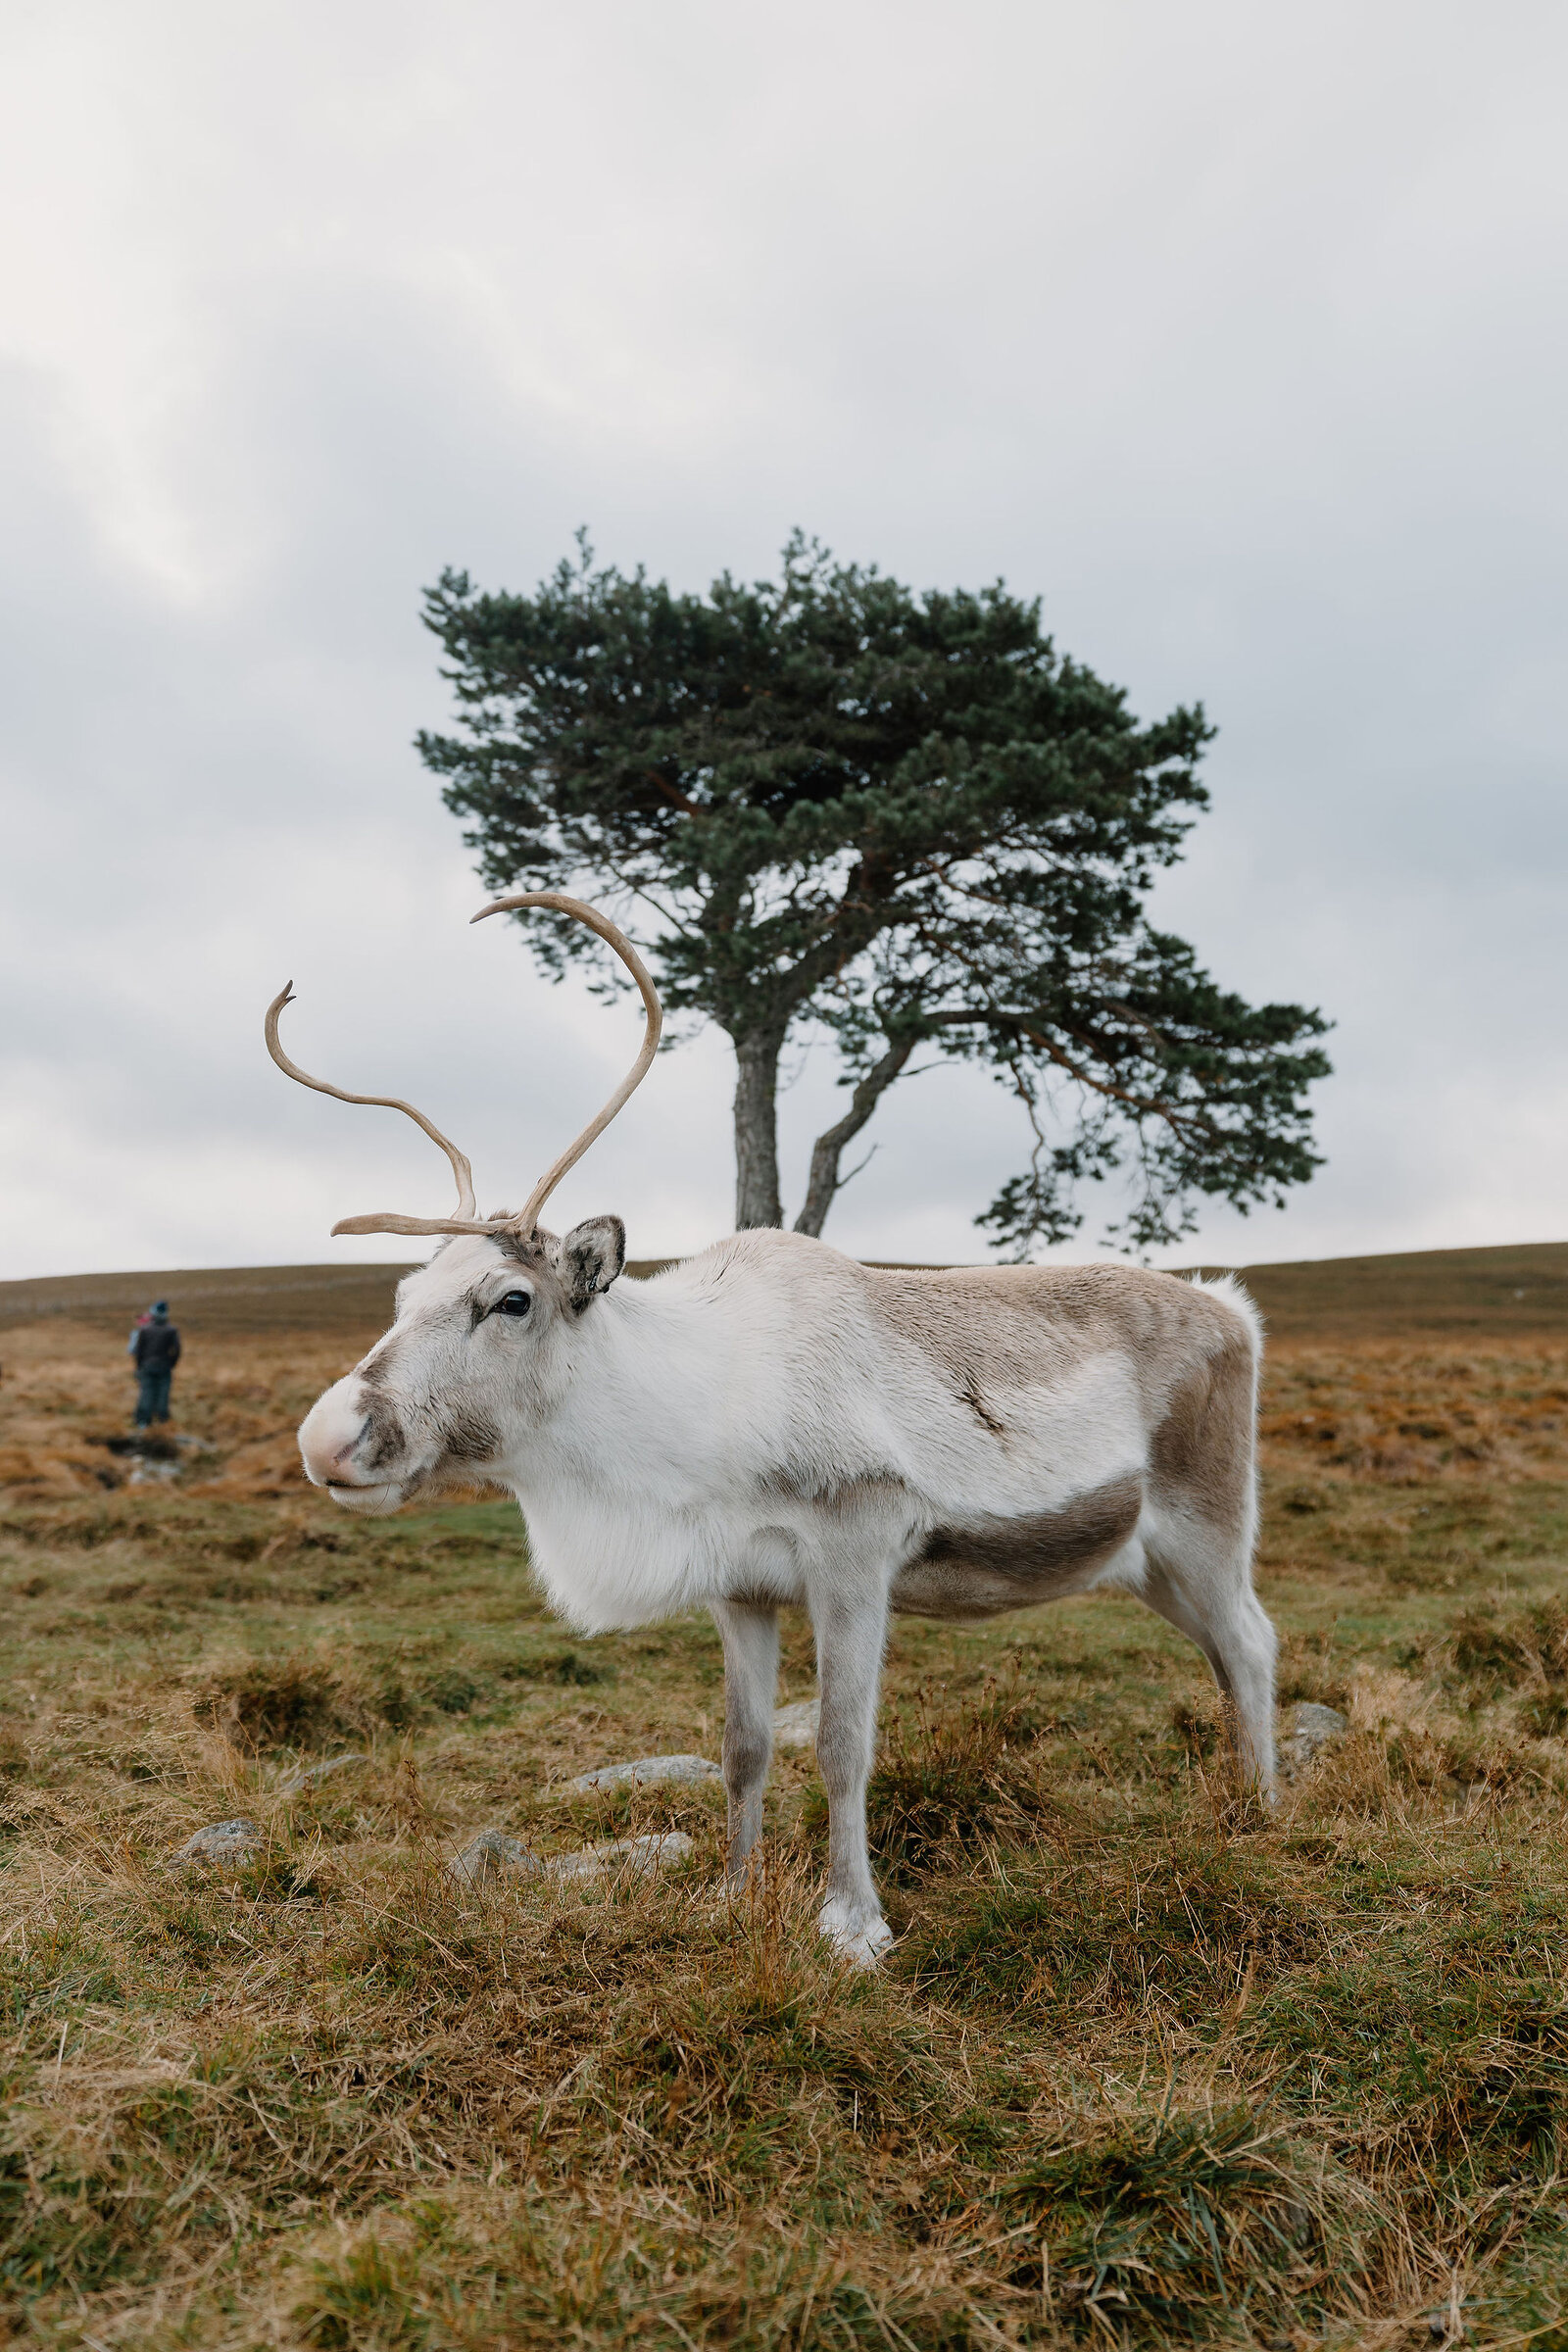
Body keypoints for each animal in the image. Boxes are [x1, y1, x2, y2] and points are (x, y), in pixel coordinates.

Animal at [266, 892, 1277, 1965]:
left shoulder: (856, 1557)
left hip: (1207, 1528)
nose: (331, 1438)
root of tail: (1234, 1311)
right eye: (403, 1292)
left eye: (510, 1298)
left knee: (1252, 1642)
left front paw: (854, 1922)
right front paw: (731, 1892)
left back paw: (1260, 1815)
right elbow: (742, 1749)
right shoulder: (740, 1588)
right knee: (1220, 1656)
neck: (687, 1407)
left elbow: (840, 1743)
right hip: (1144, 1563)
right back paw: (1231, 1798)